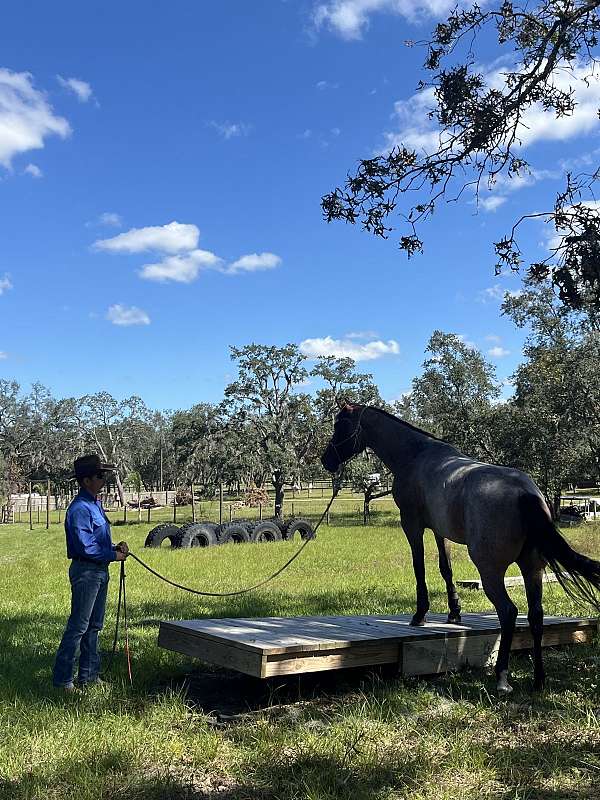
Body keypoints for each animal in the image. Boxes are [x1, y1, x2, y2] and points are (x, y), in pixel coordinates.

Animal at [324, 404, 600, 692]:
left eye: (340, 425)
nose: (326, 460)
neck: (416, 455)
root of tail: (525, 492)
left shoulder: (412, 525)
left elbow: (419, 567)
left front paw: (420, 614)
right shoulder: (439, 530)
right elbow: (445, 568)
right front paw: (454, 612)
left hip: (490, 571)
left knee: (509, 612)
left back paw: (502, 678)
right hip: (532, 569)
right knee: (535, 616)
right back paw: (538, 680)